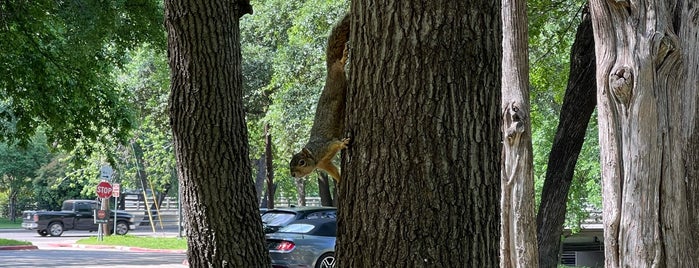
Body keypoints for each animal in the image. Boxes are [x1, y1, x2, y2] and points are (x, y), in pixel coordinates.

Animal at [292, 14, 352, 182]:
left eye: (301, 162)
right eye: (290, 165)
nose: (293, 175)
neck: (315, 156)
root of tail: (328, 71)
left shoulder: (325, 146)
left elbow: (335, 143)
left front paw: (343, 144)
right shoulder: (324, 163)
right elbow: (333, 170)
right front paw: (339, 181)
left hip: (336, 77)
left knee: (338, 64)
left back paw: (343, 57)